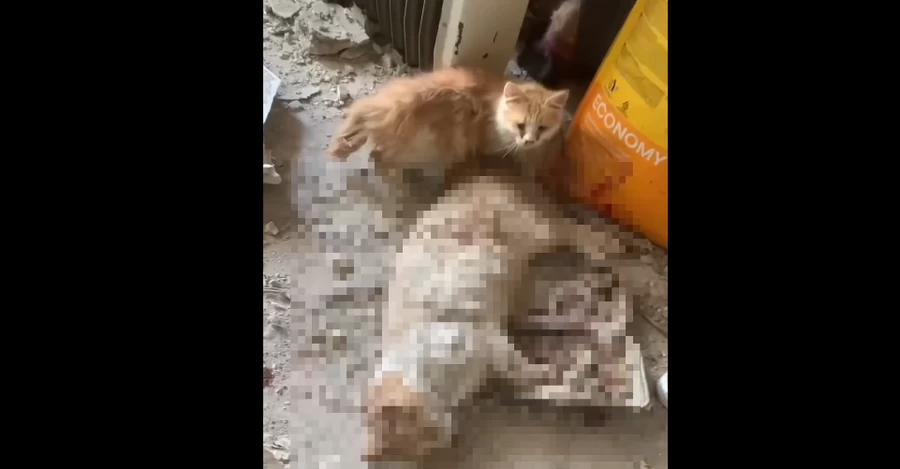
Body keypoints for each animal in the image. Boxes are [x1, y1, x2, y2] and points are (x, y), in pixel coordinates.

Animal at [329, 67, 569, 193]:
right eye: (520, 125)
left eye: (542, 128)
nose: (530, 141)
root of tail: (381, 108)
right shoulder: (479, 143)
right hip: (423, 146)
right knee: (379, 158)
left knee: (375, 155)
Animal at [364, 164, 627, 462]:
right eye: (427, 446)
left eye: (424, 433)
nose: (449, 438)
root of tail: (484, 175)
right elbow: (527, 360)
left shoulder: (484, 336)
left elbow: (523, 370)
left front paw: (559, 370)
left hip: (533, 229)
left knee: (565, 226)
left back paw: (603, 244)